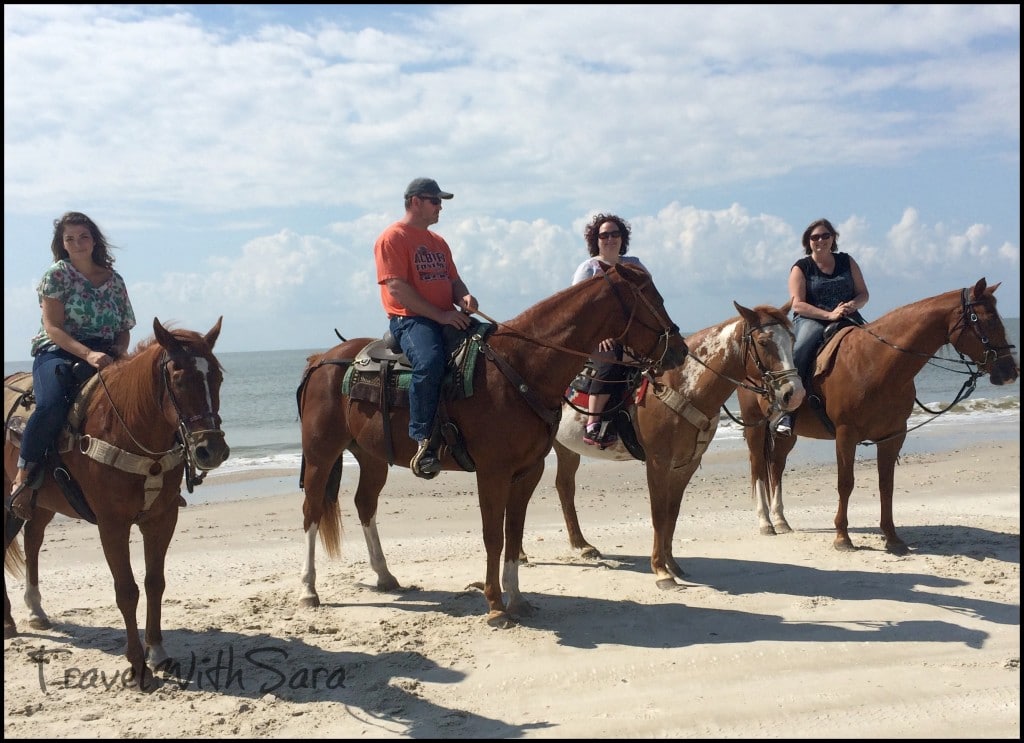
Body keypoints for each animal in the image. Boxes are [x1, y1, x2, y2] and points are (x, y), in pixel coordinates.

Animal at [2, 319, 229, 691]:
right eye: (179, 379)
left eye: (218, 378)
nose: (212, 450)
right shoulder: (113, 525)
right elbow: (127, 591)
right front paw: (138, 666)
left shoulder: (162, 518)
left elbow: (155, 583)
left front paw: (158, 652)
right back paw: (11, 620)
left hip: (38, 502)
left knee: (32, 538)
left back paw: (33, 611)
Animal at [292, 261, 684, 630]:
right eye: (655, 299)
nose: (679, 351)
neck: (521, 365)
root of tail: (321, 359)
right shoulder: (493, 472)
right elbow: (493, 535)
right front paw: (495, 605)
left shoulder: (528, 471)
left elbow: (514, 533)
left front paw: (517, 599)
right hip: (321, 454)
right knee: (312, 511)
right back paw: (308, 589)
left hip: (371, 456)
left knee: (365, 505)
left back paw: (385, 576)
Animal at [548, 300, 802, 589]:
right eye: (763, 341)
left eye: (792, 339)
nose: (794, 393)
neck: (682, 385)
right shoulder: (658, 462)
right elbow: (659, 514)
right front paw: (661, 571)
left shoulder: (685, 465)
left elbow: (672, 513)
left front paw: (672, 564)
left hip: (566, 449)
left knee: (565, 487)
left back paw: (582, 545)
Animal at [741, 278, 1019, 552]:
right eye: (986, 320)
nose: (1010, 372)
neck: (874, 362)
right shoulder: (846, 435)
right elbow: (846, 482)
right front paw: (842, 537)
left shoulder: (893, 436)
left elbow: (886, 485)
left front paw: (892, 537)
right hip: (755, 427)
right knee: (758, 468)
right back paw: (766, 523)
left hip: (787, 435)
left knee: (776, 466)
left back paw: (781, 520)